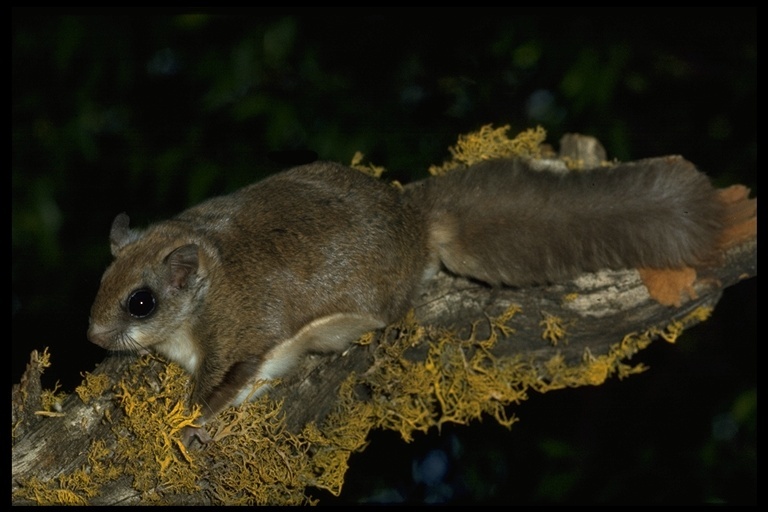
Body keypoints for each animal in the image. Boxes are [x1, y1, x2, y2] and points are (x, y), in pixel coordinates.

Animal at [87, 155, 724, 440]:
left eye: (140, 302)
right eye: (103, 279)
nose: (92, 335)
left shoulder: (241, 336)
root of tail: (417, 221)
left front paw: (191, 426)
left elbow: (223, 387)